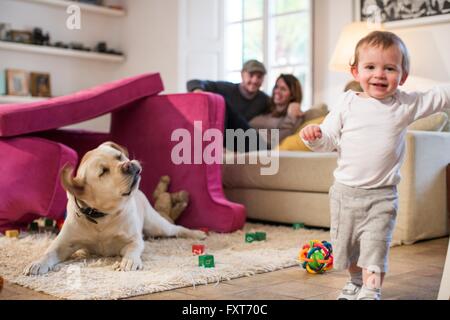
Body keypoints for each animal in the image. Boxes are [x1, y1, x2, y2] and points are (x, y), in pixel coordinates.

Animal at [24, 142, 206, 276]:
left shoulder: (133, 240)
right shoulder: (63, 244)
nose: (128, 164)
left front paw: (129, 261)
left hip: (157, 226)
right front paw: (37, 263)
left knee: (177, 228)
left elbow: (133, 249)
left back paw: (197, 233)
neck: (102, 216)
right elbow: (48, 252)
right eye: (103, 172)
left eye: (119, 156)